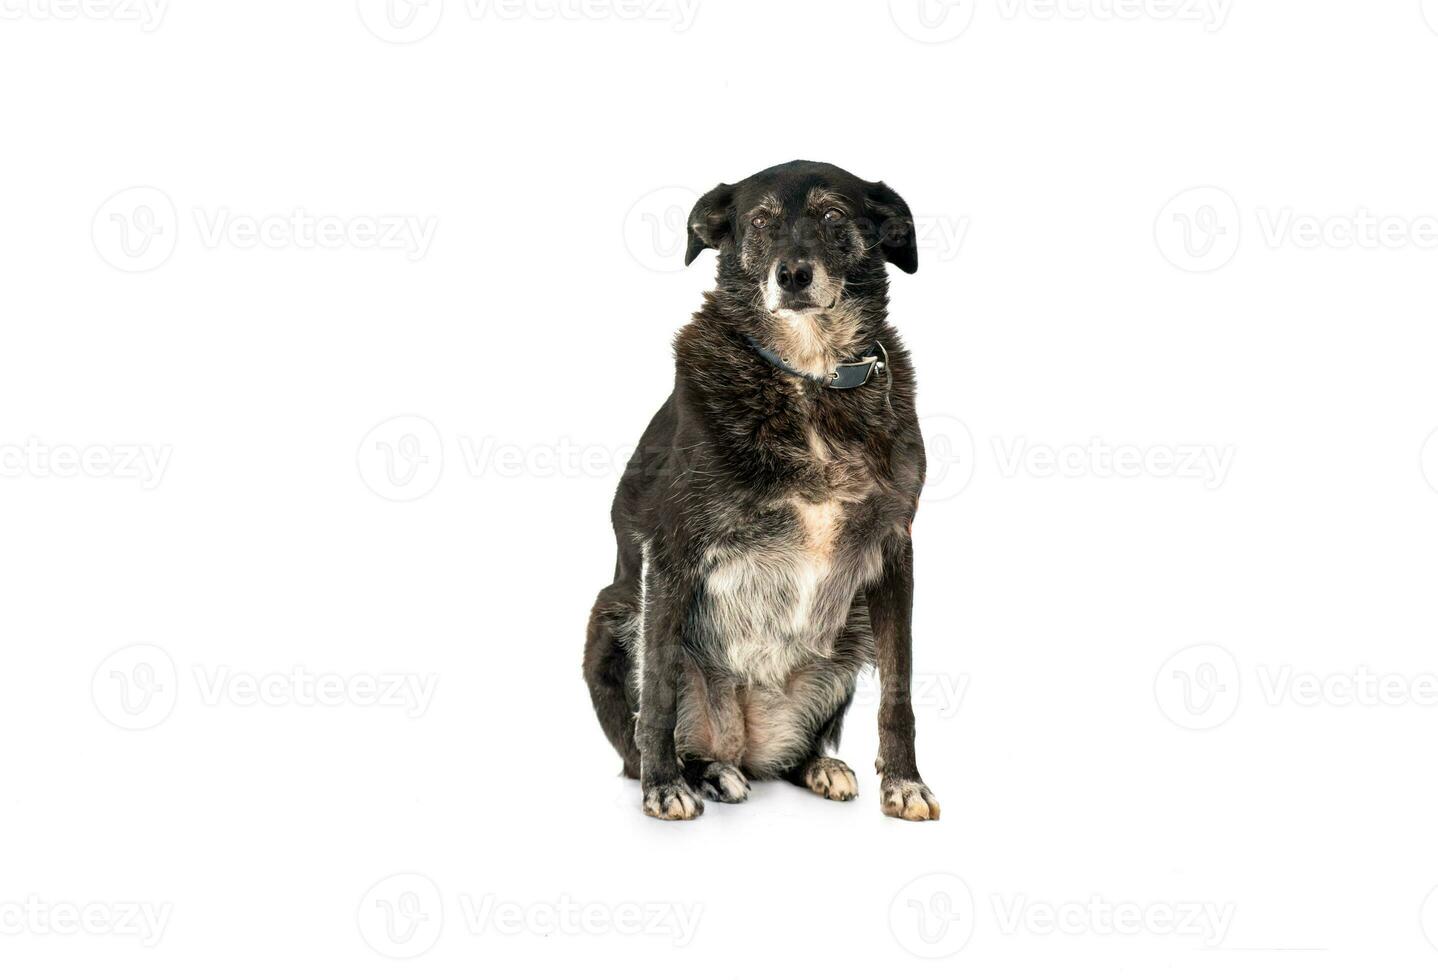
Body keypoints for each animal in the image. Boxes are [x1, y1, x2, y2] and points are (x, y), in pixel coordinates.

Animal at [586, 160, 943, 816]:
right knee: (650, 733)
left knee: (796, 754)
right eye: (759, 221)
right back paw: (703, 772)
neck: (808, 376)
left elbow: (899, 687)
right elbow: (659, 687)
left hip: (849, 629)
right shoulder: (668, 550)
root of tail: (745, 742)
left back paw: (818, 766)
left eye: (833, 215)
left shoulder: (893, 550)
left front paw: (905, 782)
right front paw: (663, 786)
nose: (793, 275)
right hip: (611, 612)